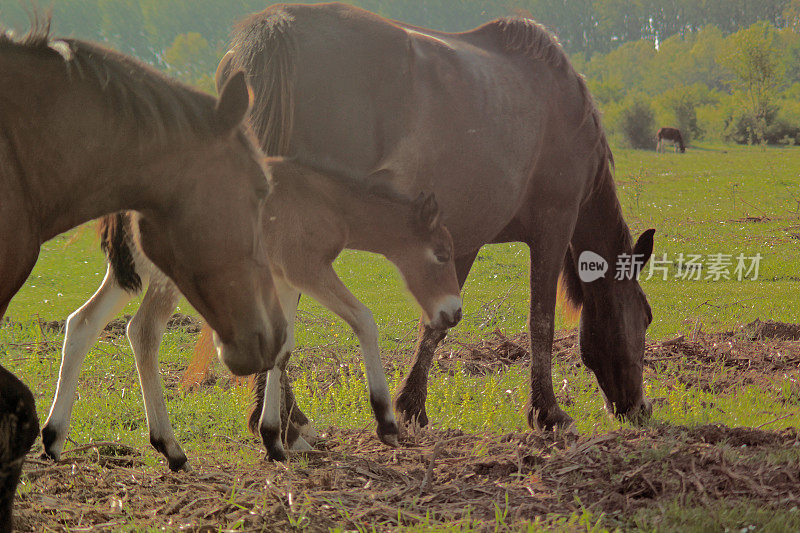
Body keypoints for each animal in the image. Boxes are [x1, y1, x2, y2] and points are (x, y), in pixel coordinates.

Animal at [47, 158, 462, 466]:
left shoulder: (283, 279)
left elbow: (283, 346)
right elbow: (363, 318)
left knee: (83, 322)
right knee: (142, 331)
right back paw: (171, 448)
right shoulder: (306, 267)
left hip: (130, 274)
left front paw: (273, 440)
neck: (328, 200)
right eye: (442, 253)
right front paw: (386, 423)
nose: (454, 313)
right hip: (170, 276)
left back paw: (53, 438)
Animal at [214, 4, 656, 434]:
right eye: (647, 316)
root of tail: (280, 26)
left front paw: (412, 405)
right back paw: (285, 419)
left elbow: (437, 323)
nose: (639, 409)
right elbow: (539, 322)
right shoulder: (553, 226)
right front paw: (547, 412)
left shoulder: (462, 240)